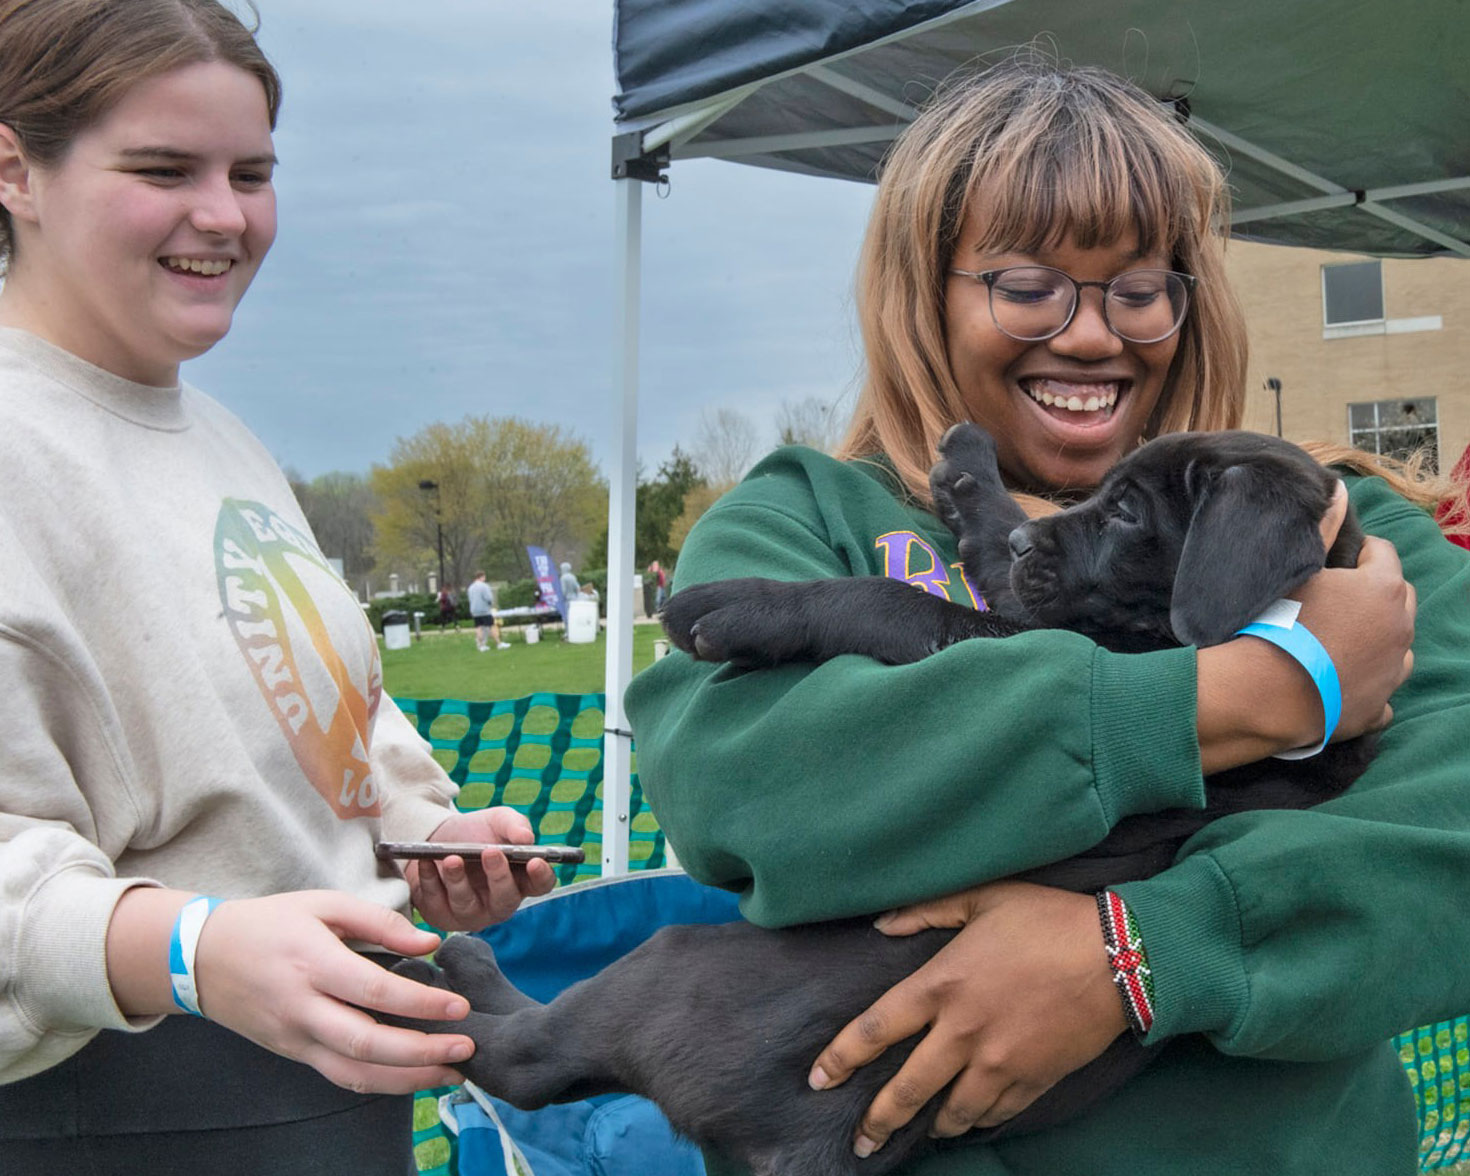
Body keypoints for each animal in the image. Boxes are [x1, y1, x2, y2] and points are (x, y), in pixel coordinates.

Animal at [393, 423, 1375, 1176]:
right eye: (1102, 493)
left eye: (1131, 511)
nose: (1031, 548)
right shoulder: (1033, 610)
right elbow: (986, 547)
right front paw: (973, 472)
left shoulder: (1033, 639)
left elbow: (899, 601)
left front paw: (743, 608)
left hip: (672, 968)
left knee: (528, 1059)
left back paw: (446, 980)